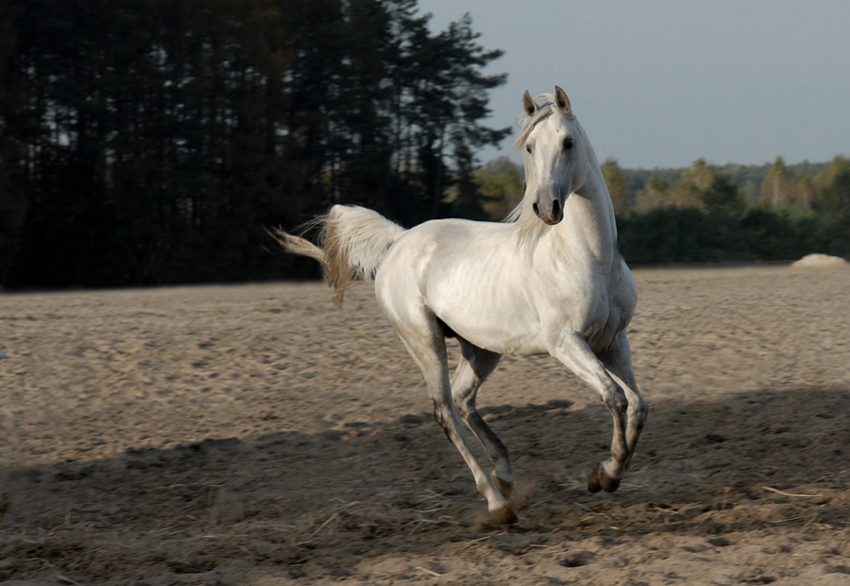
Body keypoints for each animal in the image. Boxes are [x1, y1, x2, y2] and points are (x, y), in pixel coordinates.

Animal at [274, 86, 644, 524]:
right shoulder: (566, 343)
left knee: (466, 399)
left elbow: (637, 405)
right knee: (446, 411)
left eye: (568, 143)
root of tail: (399, 241)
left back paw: (504, 474)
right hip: (425, 342)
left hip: (481, 348)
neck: (591, 256)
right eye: (530, 147)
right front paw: (604, 475)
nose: (546, 208)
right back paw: (497, 503)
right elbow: (615, 398)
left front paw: (609, 474)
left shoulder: (613, 340)